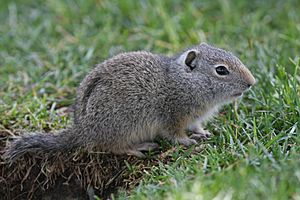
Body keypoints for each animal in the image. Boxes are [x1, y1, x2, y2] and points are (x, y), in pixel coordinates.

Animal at [3, 41, 254, 159]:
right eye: (221, 70)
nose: (251, 82)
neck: (185, 81)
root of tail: (82, 131)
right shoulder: (173, 117)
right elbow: (175, 135)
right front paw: (188, 142)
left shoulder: (193, 118)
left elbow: (197, 126)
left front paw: (203, 133)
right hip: (124, 127)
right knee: (111, 147)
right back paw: (139, 147)